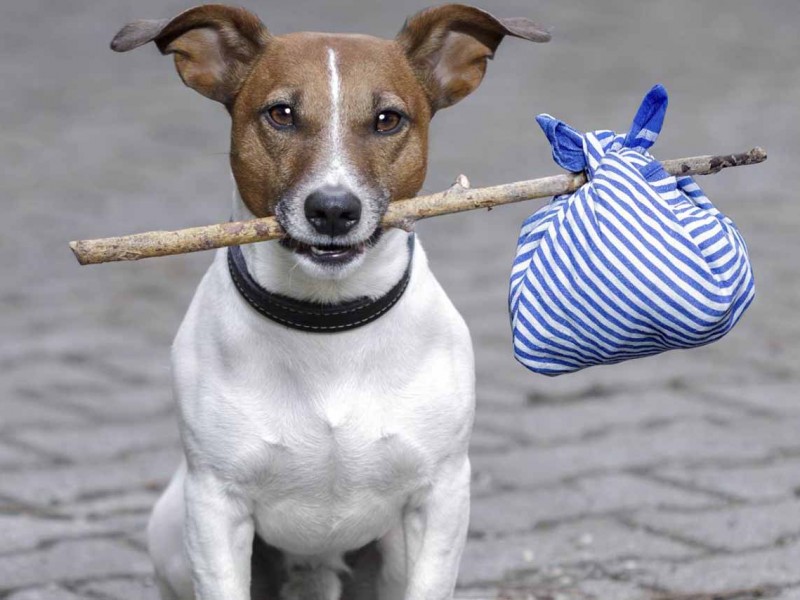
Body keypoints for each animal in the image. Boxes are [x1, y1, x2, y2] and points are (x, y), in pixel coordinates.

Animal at [111, 5, 552, 600]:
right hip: (171, 530)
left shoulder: (440, 496)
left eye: (388, 119)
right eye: (281, 114)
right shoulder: (213, 506)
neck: (327, 323)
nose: (333, 210)